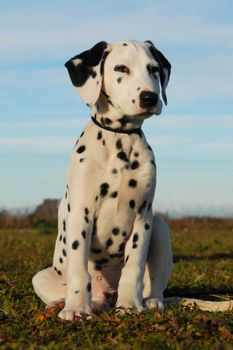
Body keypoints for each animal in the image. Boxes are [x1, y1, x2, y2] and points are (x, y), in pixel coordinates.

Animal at [31, 39, 173, 320]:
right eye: (121, 68)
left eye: (154, 69)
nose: (150, 97)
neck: (119, 139)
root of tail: (107, 293)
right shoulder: (80, 213)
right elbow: (79, 270)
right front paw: (76, 308)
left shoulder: (143, 216)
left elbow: (134, 267)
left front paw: (129, 305)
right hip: (42, 276)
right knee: (88, 295)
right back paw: (67, 304)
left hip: (160, 227)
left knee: (154, 286)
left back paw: (151, 302)